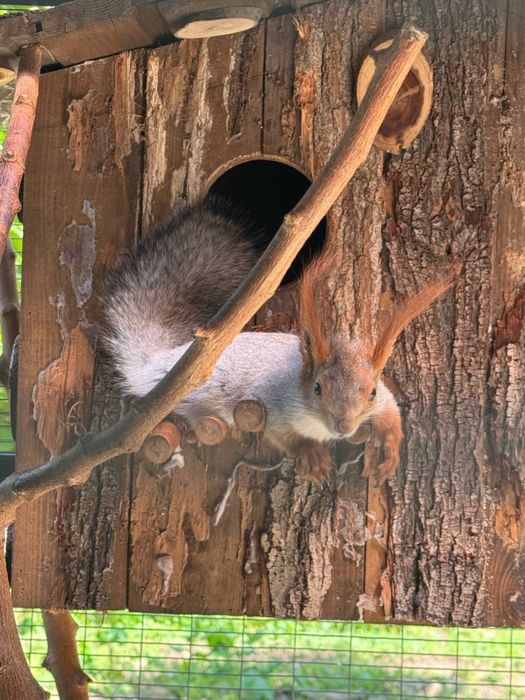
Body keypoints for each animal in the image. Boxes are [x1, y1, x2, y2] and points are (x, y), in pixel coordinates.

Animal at [103, 195, 452, 484]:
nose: (344, 427)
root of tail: (165, 357)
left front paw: (390, 449)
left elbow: (392, 411)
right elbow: (285, 437)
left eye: (371, 391)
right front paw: (312, 455)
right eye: (318, 388)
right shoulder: (274, 404)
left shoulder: (382, 396)